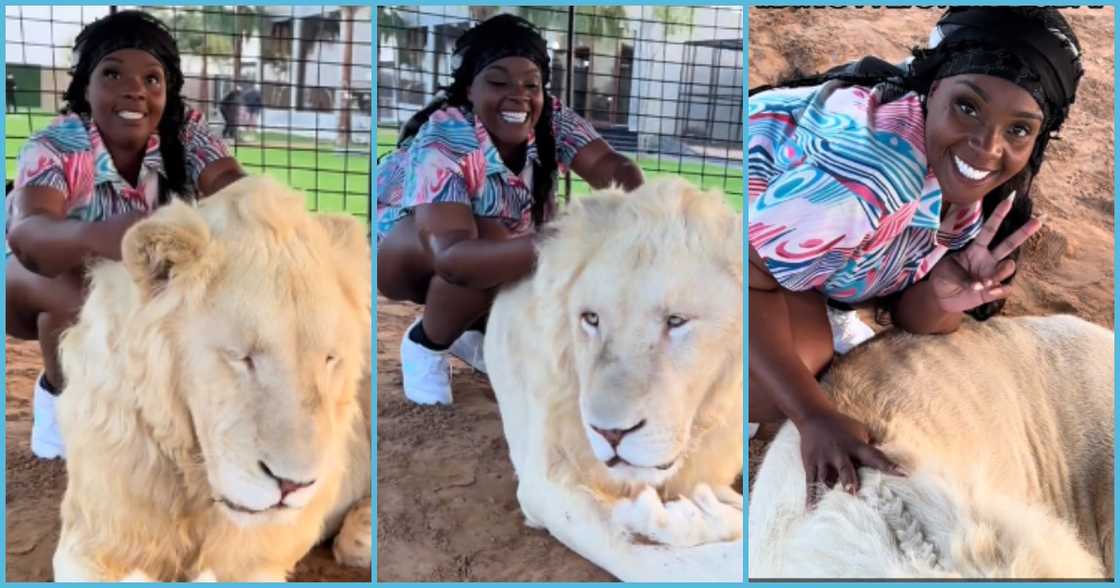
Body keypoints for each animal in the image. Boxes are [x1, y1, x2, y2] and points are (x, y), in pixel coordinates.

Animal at [488, 179, 743, 582]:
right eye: (591, 318)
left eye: (676, 321)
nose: (610, 434)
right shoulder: (541, 482)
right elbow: (640, 558)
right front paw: (669, 515)